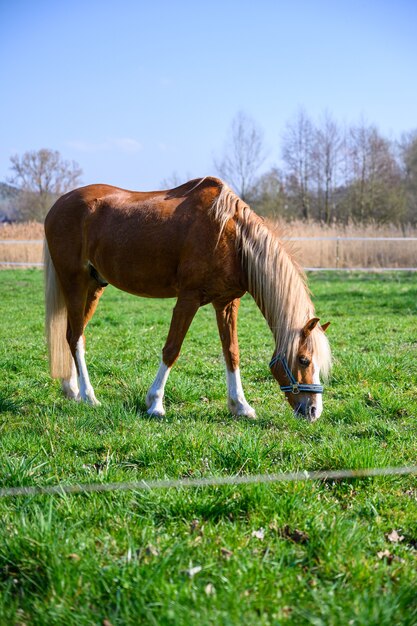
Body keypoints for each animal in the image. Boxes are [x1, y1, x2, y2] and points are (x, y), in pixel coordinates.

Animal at [44, 176, 332, 420]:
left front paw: (240, 406)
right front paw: (155, 404)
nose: (314, 411)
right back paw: (88, 396)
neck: (231, 236)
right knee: (75, 337)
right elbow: (172, 349)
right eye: (304, 360)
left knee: (73, 335)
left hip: (95, 286)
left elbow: (232, 353)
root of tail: (57, 206)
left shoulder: (226, 303)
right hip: (74, 283)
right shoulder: (188, 299)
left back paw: (72, 390)